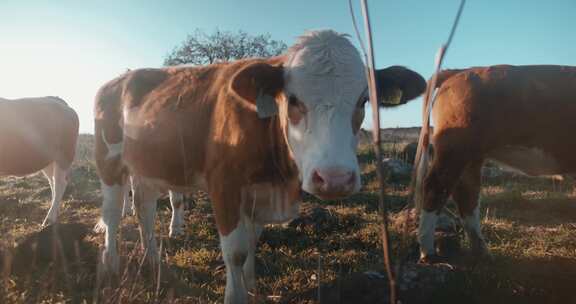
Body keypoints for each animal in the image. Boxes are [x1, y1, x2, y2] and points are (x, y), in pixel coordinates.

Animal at [0, 96, 79, 227]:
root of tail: (58, 101)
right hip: (48, 159)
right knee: (53, 183)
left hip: (64, 154)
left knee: (60, 184)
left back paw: (50, 219)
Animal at [95, 29, 428, 302]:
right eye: (293, 99)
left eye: (363, 101)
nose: (334, 178)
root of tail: (120, 78)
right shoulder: (225, 186)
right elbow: (236, 250)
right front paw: (236, 295)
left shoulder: (259, 193)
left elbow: (252, 240)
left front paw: (251, 284)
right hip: (108, 159)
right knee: (113, 213)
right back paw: (110, 262)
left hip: (147, 165)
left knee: (144, 210)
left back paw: (152, 259)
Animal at [416, 64, 576, 264]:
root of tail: (460, 71)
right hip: (455, 149)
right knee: (436, 187)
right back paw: (428, 252)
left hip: (471, 156)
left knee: (467, 194)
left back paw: (481, 251)